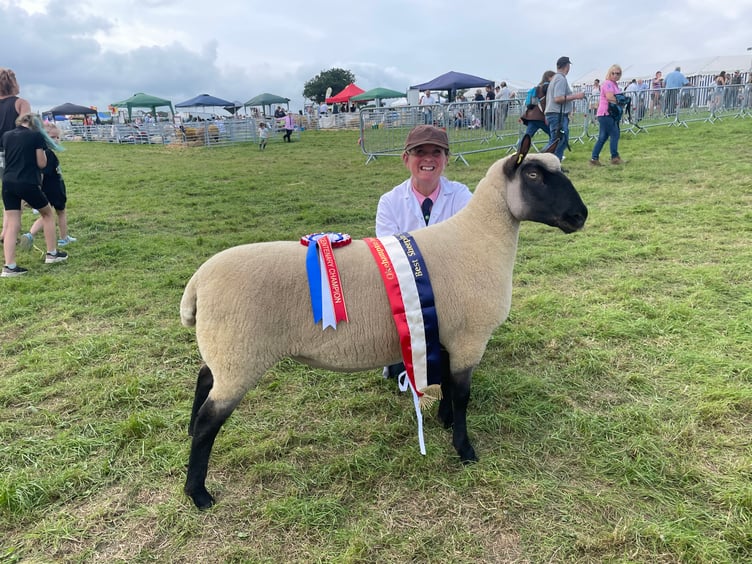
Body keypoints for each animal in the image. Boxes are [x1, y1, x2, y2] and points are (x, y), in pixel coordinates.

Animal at [180, 136, 588, 509]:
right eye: (533, 174)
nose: (580, 217)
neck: (479, 240)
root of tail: (198, 281)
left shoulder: (444, 336)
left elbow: (447, 387)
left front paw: (444, 421)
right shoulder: (470, 338)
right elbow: (463, 395)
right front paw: (465, 450)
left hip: (224, 348)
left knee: (203, 381)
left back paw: (187, 433)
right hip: (240, 354)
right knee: (210, 421)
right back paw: (198, 493)